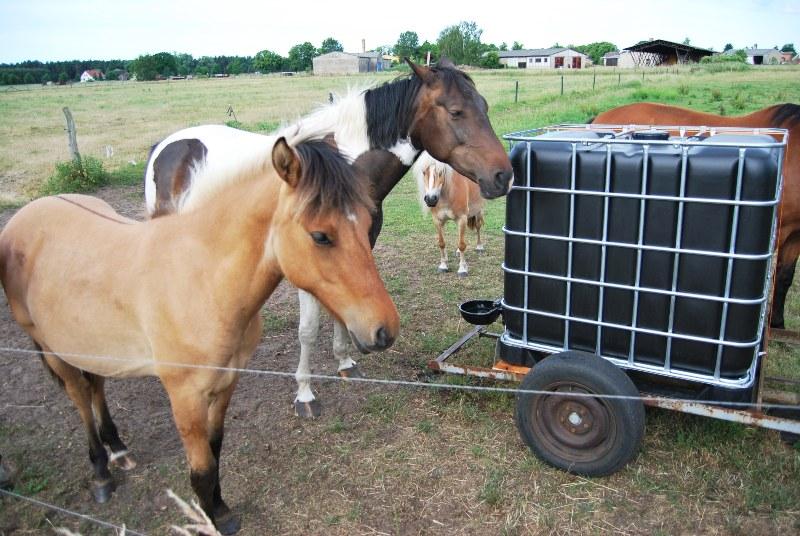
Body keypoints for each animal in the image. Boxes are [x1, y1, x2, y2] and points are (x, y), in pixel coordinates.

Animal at [0, 137, 400, 532]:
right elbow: (202, 465)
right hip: (53, 349)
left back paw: (119, 450)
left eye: (368, 223)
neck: (201, 278)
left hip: (91, 344)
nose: (385, 330)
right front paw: (216, 517)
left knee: (96, 386)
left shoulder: (226, 382)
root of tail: (27, 214)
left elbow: (215, 447)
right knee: (80, 396)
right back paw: (101, 473)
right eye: (320, 236)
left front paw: (217, 507)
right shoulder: (185, 395)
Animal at [144, 58, 512, 418]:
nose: (503, 176)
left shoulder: (355, 253)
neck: (347, 168)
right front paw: (305, 394)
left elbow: (342, 312)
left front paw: (346, 364)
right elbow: (308, 330)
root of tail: (168, 143)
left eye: (484, 105)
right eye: (455, 111)